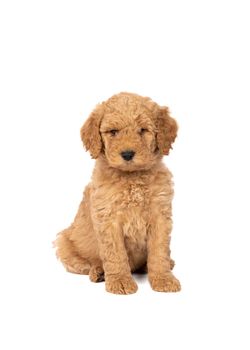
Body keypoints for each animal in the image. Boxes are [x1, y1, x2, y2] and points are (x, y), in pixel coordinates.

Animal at [54, 91, 181, 294]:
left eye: (143, 130)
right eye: (113, 132)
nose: (127, 154)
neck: (131, 178)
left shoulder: (160, 216)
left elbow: (159, 251)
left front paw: (163, 278)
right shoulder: (108, 219)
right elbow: (115, 254)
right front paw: (120, 280)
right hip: (64, 242)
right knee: (85, 263)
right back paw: (99, 272)